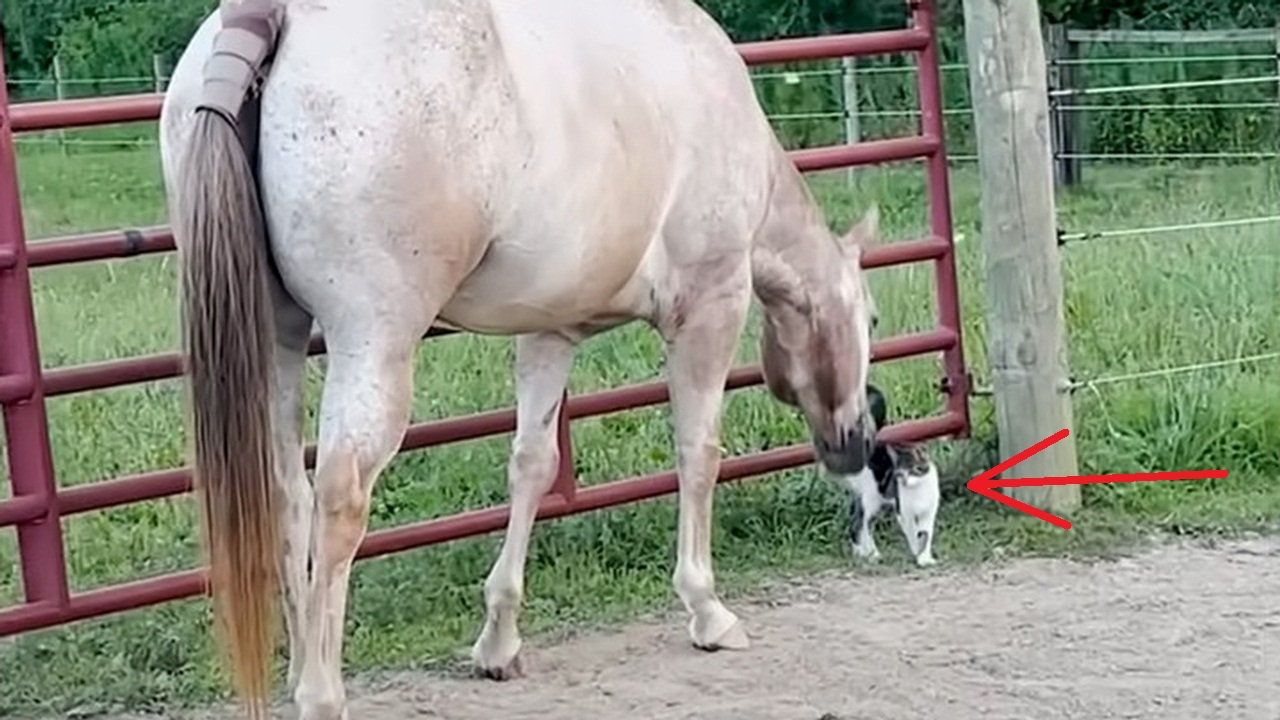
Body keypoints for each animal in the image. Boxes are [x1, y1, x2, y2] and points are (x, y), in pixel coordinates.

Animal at [157, 1, 880, 717]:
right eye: (870, 320)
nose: (858, 443)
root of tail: (270, 17)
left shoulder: (551, 331)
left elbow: (532, 466)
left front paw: (500, 640)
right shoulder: (709, 308)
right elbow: (698, 456)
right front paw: (707, 609)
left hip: (276, 339)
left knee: (288, 495)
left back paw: (303, 662)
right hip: (373, 342)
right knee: (340, 498)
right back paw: (321, 690)